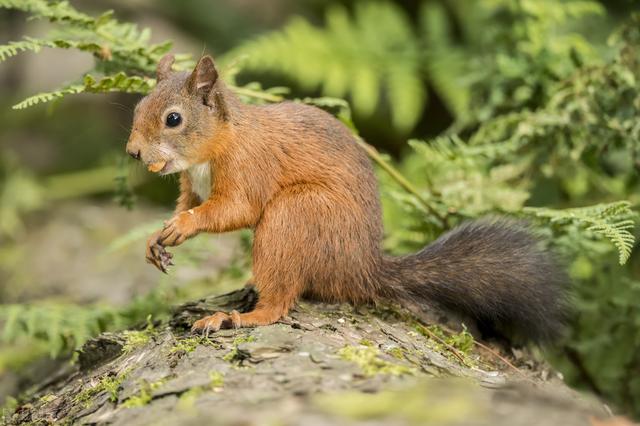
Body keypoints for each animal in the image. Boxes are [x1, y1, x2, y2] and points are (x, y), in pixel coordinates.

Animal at [127, 55, 568, 342]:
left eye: (173, 119)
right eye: (138, 106)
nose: (133, 152)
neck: (215, 146)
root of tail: (361, 270)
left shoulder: (249, 167)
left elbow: (235, 208)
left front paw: (185, 225)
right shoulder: (191, 184)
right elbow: (187, 204)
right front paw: (155, 239)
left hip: (296, 214)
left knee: (281, 302)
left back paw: (237, 317)